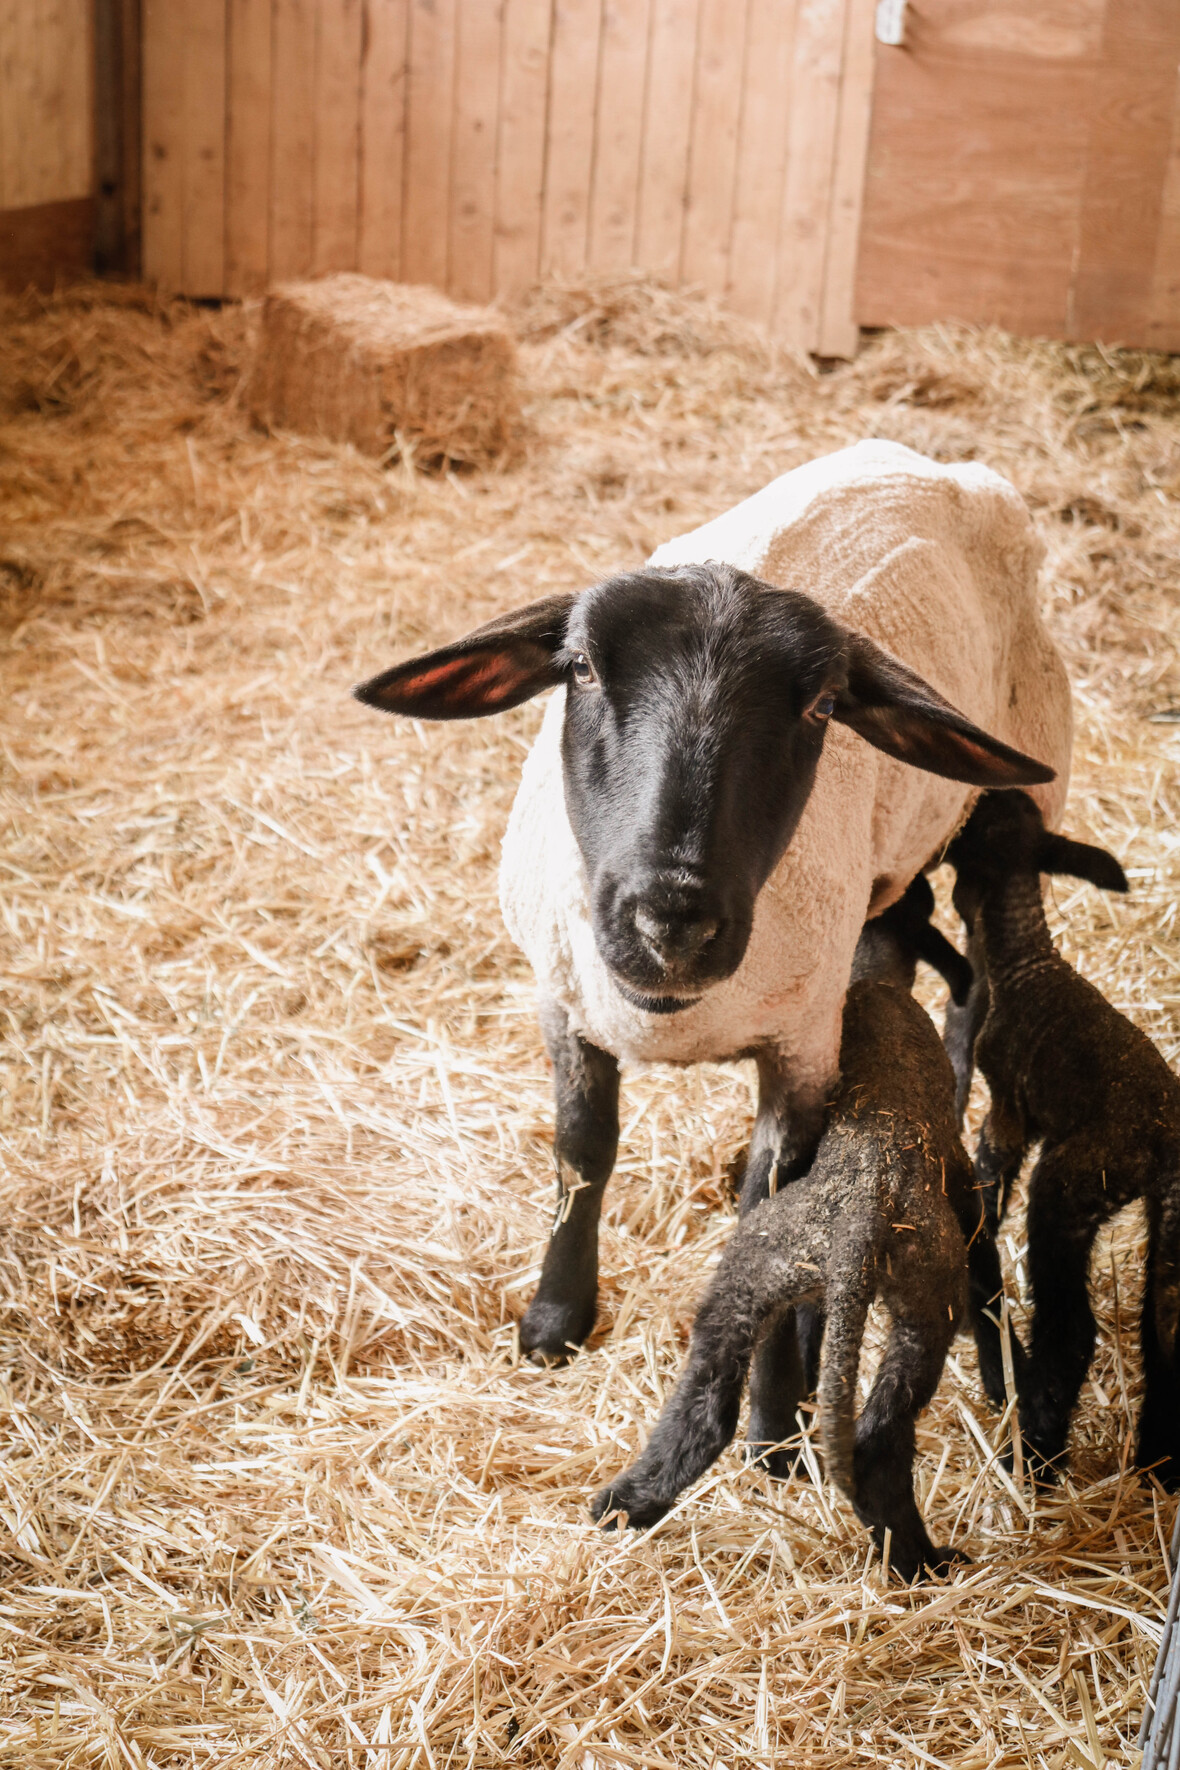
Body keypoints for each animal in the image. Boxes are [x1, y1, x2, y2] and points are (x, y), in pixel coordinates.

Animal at [355, 435, 1075, 1373]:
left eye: (823, 705)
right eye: (580, 668)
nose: (672, 923)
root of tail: (926, 458)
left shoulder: (802, 1042)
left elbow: (769, 1199)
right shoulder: (564, 1002)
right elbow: (581, 1152)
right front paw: (555, 1320)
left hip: (1009, 807)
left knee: (977, 982)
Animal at [590, 877, 990, 1585]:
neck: (863, 972)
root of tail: (862, 1222)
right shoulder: (958, 1163)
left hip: (776, 1282)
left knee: (711, 1409)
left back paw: (625, 1505)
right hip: (922, 1293)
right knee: (873, 1441)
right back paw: (921, 1561)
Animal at [948, 785, 1180, 1479]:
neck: (1028, 959)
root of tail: (1159, 1139)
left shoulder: (1008, 1106)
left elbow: (991, 1168)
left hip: (1070, 1188)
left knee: (1073, 1333)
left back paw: (1036, 1458)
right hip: (1173, 1214)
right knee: (1163, 1323)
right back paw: (1155, 1466)